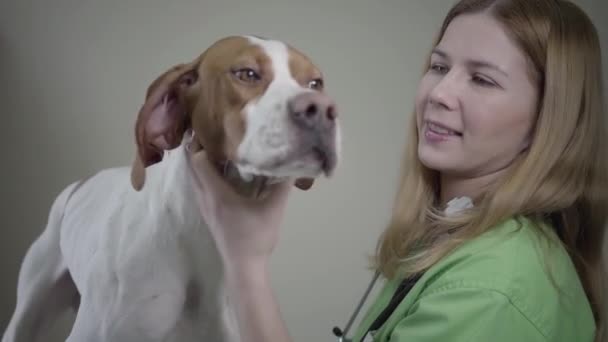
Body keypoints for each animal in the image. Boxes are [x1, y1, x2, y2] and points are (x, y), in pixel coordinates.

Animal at [2, 35, 340, 342]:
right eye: (246, 73)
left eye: (315, 83)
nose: (324, 109)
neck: (200, 239)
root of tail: (79, 184)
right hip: (28, 311)